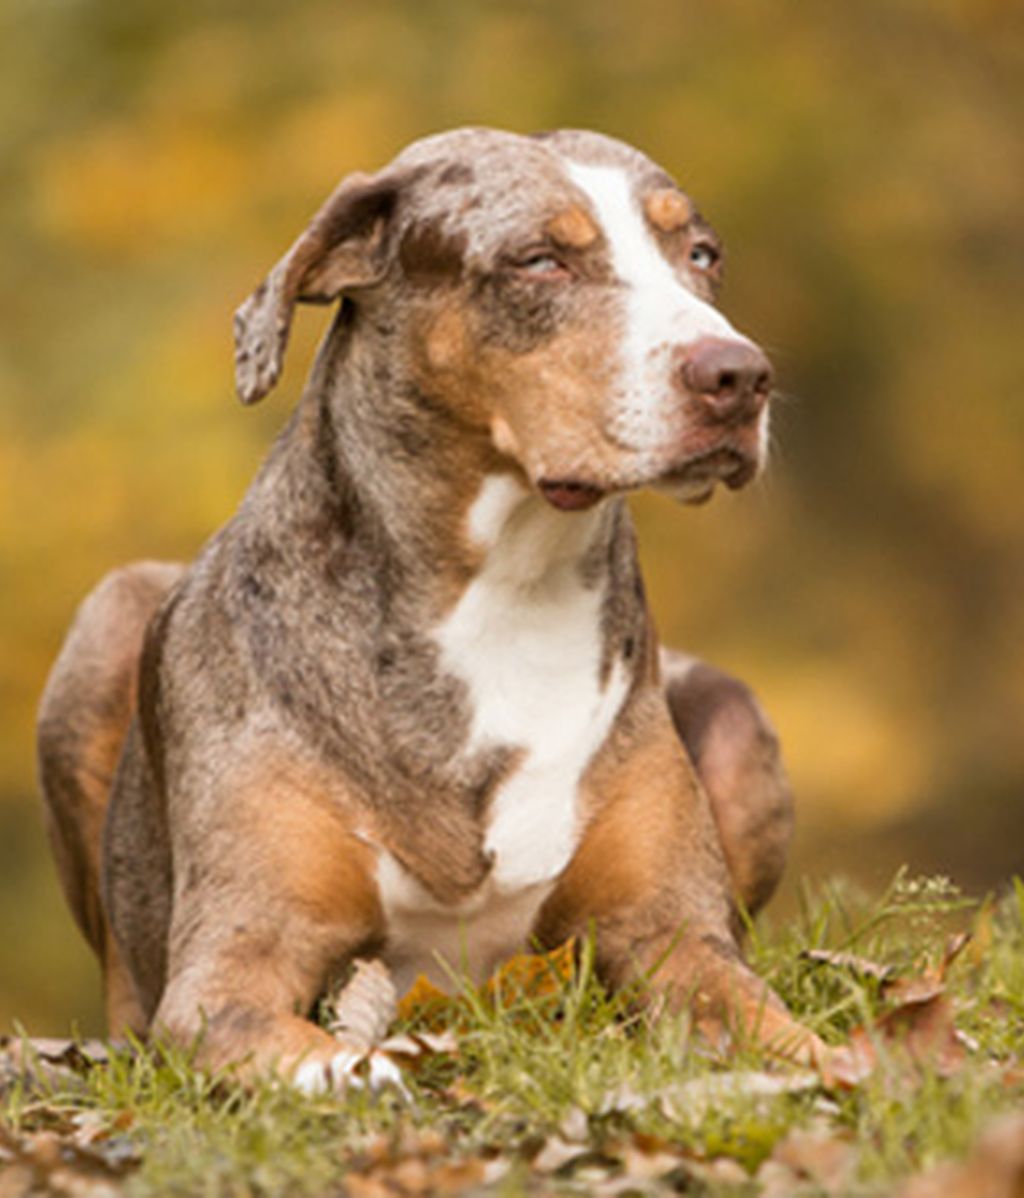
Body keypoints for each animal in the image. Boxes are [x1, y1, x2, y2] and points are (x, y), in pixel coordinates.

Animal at [38, 128, 819, 1087]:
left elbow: (783, 1025)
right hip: (106, 623)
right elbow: (306, 1047)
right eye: (540, 260)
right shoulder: (231, 969)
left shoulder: (675, 935)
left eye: (700, 254)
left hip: (736, 718)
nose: (739, 374)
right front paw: (362, 1072)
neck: (507, 597)